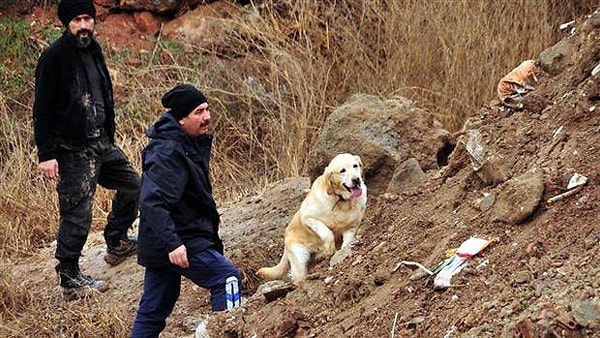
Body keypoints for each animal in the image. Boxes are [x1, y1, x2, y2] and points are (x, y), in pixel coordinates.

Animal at [256, 153, 366, 282]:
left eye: (355, 166)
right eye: (342, 170)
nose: (356, 179)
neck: (342, 202)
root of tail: (286, 241)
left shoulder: (351, 228)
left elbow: (346, 243)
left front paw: (342, 252)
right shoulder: (308, 218)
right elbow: (327, 232)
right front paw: (329, 249)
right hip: (300, 258)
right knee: (298, 279)